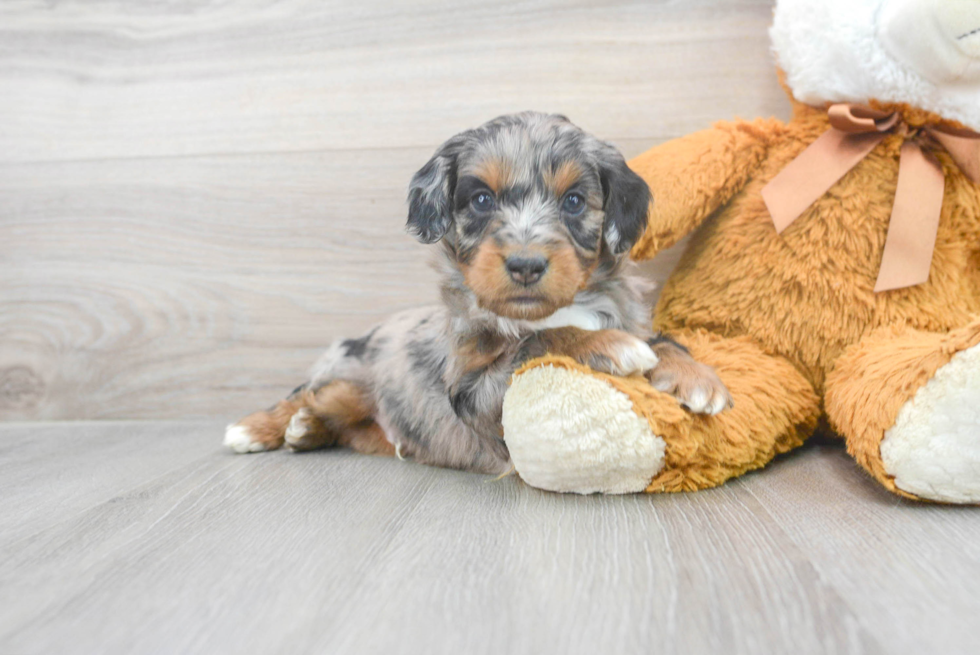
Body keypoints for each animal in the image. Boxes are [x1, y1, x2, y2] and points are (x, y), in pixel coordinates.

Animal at [226, 111, 732, 472]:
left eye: (573, 201)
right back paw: (256, 428)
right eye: (481, 200)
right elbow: (535, 342)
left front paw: (695, 376)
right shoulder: (472, 390)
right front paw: (607, 345)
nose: (526, 264)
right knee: (303, 394)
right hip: (346, 366)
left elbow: (660, 340)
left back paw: (309, 430)